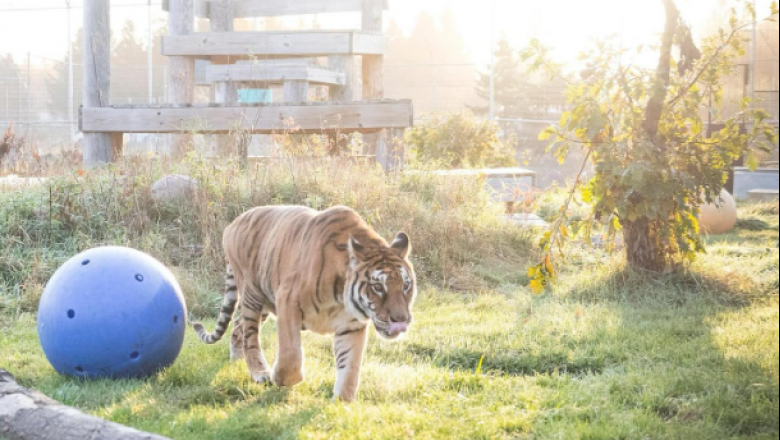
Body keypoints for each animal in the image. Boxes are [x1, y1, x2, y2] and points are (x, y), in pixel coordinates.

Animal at [193, 206, 418, 402]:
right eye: (378, 287)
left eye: (406, 285)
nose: (400, 320)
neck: (340, 296)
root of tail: (232, 224)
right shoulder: (287, 301)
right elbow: (290, 354)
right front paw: (281, 379)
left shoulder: (351, 325)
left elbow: (350, 366)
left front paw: (342, 403)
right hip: (252, 295)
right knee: (250, 336)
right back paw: (260, 372)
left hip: (264, 304)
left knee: (237, 325)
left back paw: (236, 359)